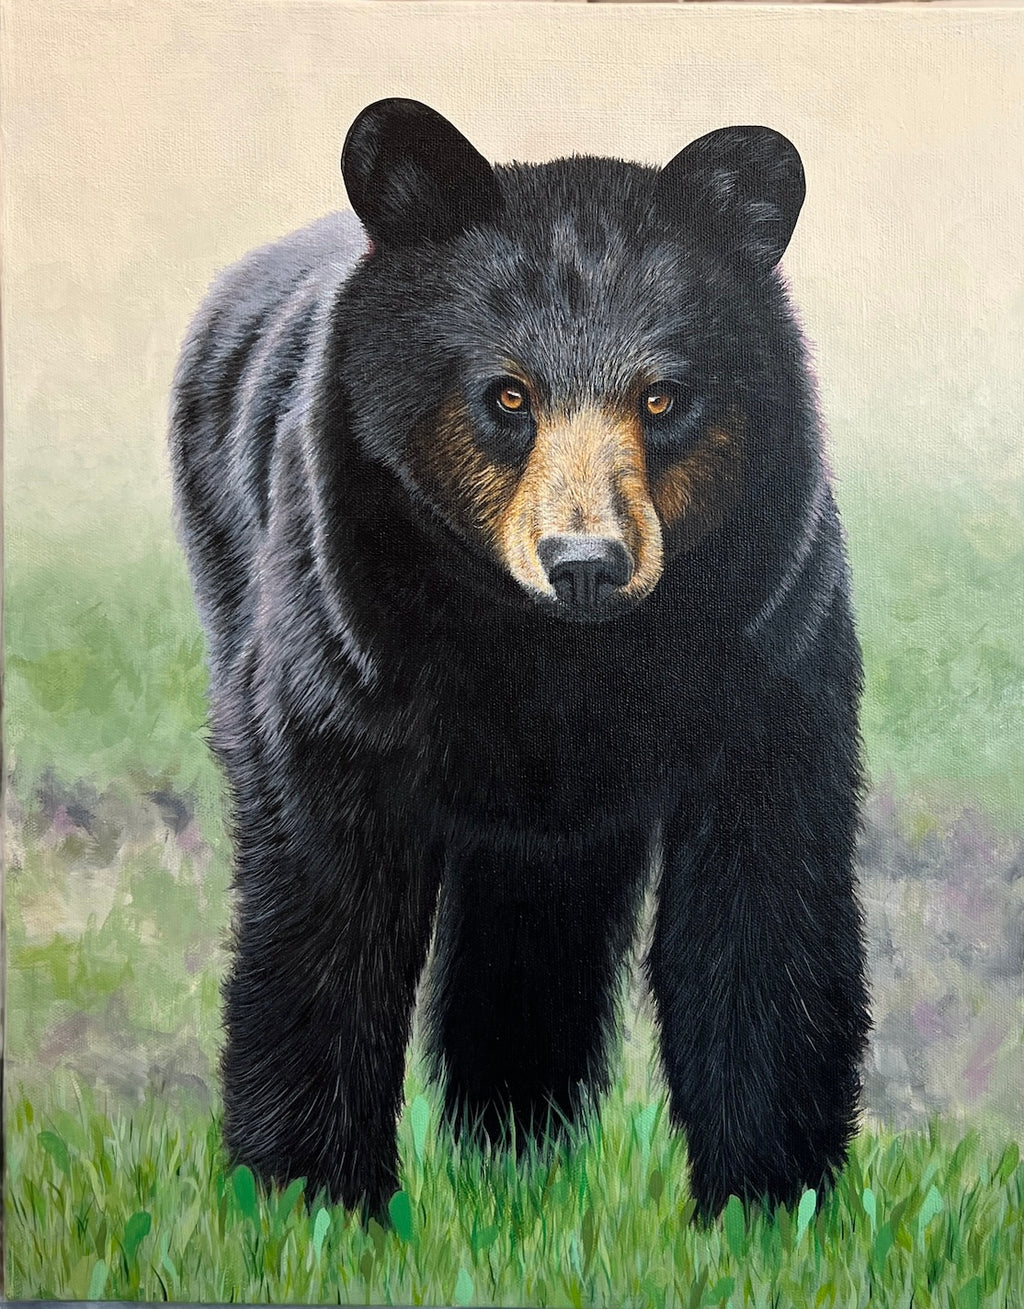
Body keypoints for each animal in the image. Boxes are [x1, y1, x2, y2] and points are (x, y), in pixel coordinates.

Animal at [170, 98, 871, 1222]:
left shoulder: (770, 639)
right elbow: (325, 901)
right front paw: (309, 1199)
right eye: (506, 395)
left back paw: (514, 1153)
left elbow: (763, 898)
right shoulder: (345, 638)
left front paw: (772, 1204)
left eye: (663, 398)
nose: (586, 562)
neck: (553, 657)